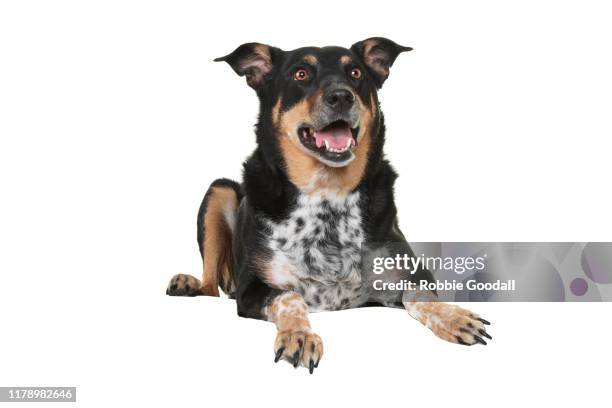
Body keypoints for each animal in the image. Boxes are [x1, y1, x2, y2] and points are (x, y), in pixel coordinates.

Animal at [167, 37, 492, 372]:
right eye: (300, 74)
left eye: (355, 72)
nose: (341, 96)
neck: (327, 198)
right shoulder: (251, 289)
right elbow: (290, 298)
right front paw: (299, 336)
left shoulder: (409, 276)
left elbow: (421, 295)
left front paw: (454, 317)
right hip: (219, 191)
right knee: (210, 284)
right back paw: (187, 282)